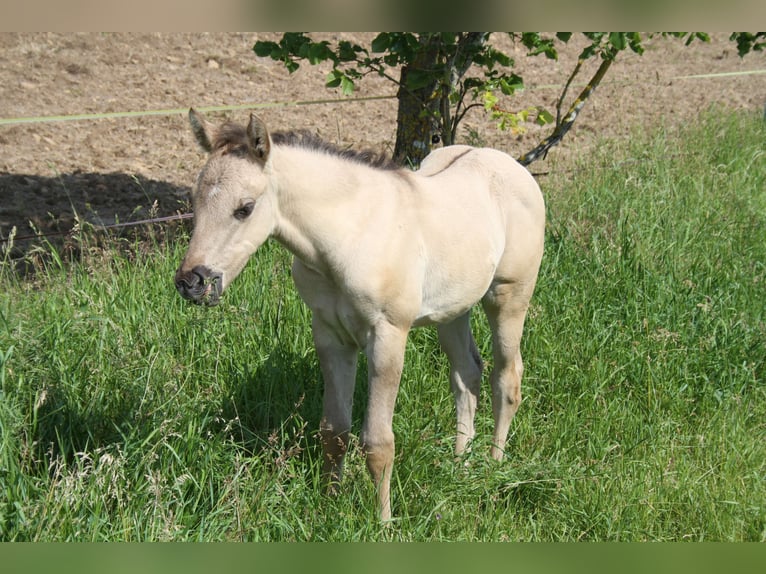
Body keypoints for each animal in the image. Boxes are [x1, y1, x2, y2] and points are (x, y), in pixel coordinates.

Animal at [176, 108, 544, 520]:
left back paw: (494, 466)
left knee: (507, 377)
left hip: (509, 296)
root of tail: (514, 167)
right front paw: (329, 505)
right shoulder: (330, 336)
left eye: (245, 208)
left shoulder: (387, 336)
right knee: (467, 374)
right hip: (453, 311)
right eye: (195, 200)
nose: (192, 282)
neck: (352, 233)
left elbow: (378, 442)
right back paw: (459, 463)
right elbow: (333, 431)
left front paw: (383, 520)